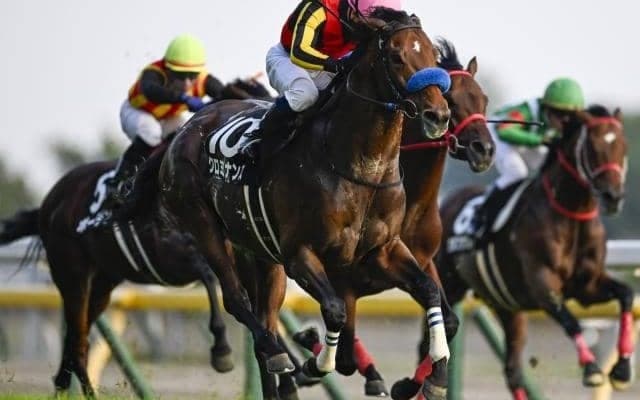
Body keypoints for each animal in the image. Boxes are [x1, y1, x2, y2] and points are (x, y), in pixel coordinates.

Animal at [0, 77, 273, 398]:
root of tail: (48, 202)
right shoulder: (175, 253)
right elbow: (209, 278)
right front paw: (222, 350)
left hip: (104, 282)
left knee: (74, 344)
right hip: (72, 274)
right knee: (77, 345)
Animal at [157, 8, 454, 400]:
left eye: (433, 56)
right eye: (396, 56)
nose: (438, 115)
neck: (360, 166)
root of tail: (188, 128)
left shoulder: (384, 250)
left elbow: (430, 291)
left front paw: (436, 377)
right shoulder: (301, 253)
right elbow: (335, 311)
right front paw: (315, 364)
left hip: (261, 255)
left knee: (264, 319)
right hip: (203, 224)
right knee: (237, 301)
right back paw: (278, 354)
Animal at [288, 39, 495, 399]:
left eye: (482, 99)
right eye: (452, 101)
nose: (484, 149)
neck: (412, 205)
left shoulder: (420, 262)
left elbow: (449, 320)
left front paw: (416, 383)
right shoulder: (345, 279)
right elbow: (344, 356)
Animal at [428, 105, 633, 399]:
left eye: (622, 146)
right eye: (592, 147)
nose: (612, 197)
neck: (572, 215)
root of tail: (446, 203)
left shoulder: (587, 286)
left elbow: (626, 294)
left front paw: (623, 369)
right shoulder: (541, 283)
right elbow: (570, 320)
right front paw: (592, 369)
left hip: (507, 306)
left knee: (513, 370)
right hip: (449, 284)